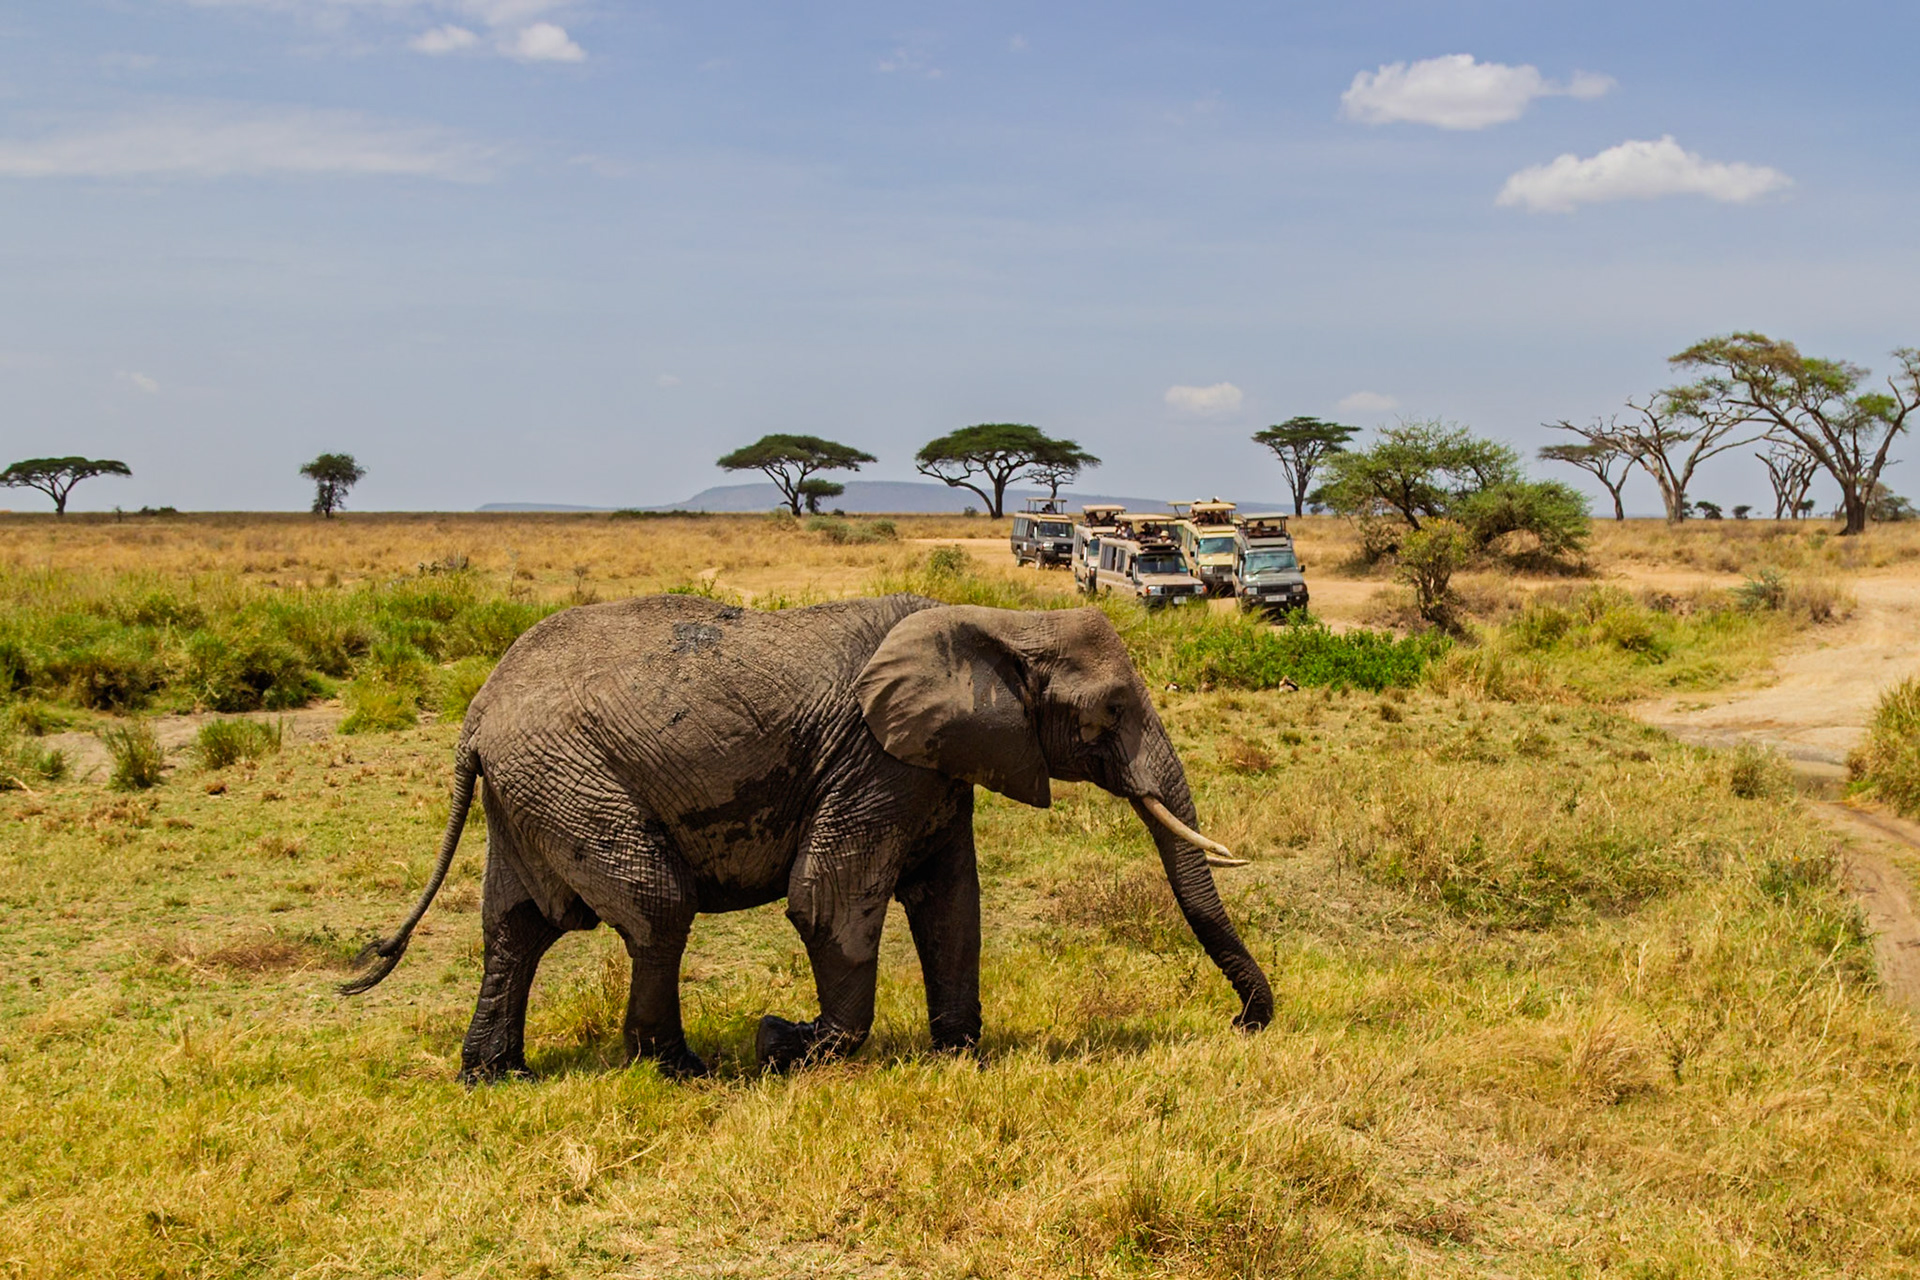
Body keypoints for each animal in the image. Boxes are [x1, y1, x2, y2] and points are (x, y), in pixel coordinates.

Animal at [342, 593, 1273, 1080]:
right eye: (1109, 713)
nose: (1242, 1024)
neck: (1002, 621)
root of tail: (475, 719)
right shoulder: (873, 761)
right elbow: (829, 901)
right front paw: (786, 1045)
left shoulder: (929, 766)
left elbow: (951, 903)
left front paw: (959, 1058)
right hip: (569, 781)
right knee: (655, 911)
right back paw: (680, 1069)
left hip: (532, 792)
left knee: (517, 928)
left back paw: (495, 1075)